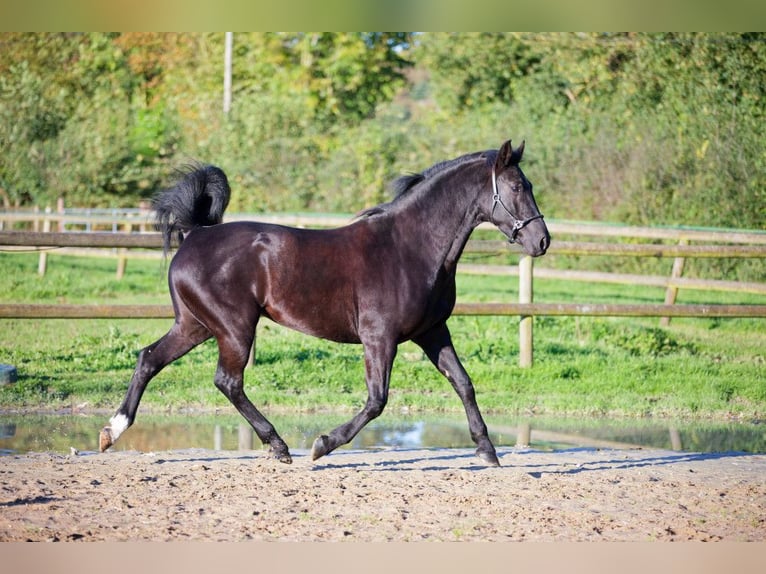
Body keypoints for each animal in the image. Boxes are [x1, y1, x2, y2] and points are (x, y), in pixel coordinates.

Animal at [99, 141, 548, 468]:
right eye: (516, 187)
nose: (542, 240)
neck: (412, 247)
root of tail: (195, 235)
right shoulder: (379, 338)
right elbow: (377, 400)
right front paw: (322, 444)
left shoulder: (432, 332)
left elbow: (463, 383)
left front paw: (487, 451)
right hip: (233, 328)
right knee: (227, 381)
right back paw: (279, 446)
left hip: (195, 325)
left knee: (149, 358)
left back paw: (111, 431)